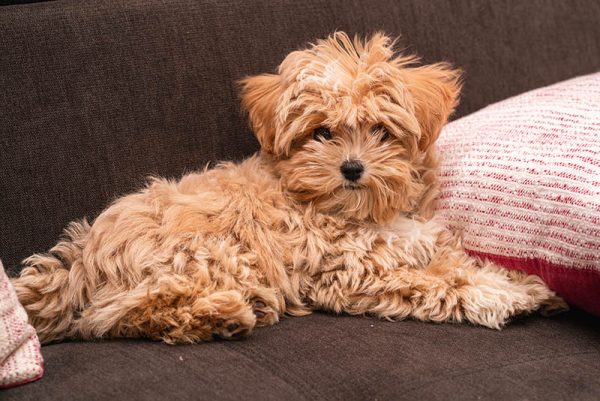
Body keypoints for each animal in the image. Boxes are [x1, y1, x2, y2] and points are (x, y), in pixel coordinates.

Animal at [12, 32, 568, 342]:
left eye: (381, 131)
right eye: (321, 133)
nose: (351, 168)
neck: (366, 213)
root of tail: (79, 263)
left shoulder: (417, 244)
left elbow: (457, 265)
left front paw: (522, 286)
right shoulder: (350, 273)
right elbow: (439, 284)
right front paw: (499, 297)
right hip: (205, 256)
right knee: (119, 315)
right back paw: (220, 315)